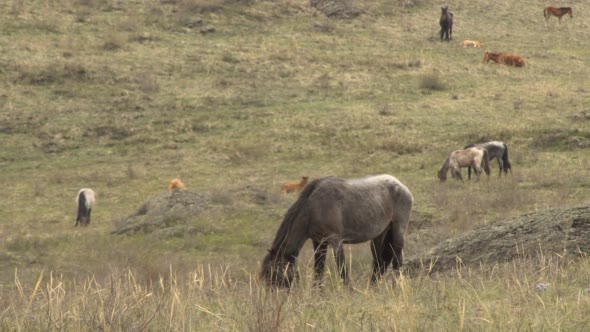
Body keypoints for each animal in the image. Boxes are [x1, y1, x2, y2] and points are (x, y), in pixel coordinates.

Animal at [262, 174, 414, 288]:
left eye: (274, 274)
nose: (272, 298)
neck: (314, 207)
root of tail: (402, 186)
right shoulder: (319, 242)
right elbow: (318, 270)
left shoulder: (336, 241)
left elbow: (342, 270)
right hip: (378, 236)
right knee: (379, 263)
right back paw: (371, 289)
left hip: (397, 231)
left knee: (397, 262)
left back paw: (395, 288)